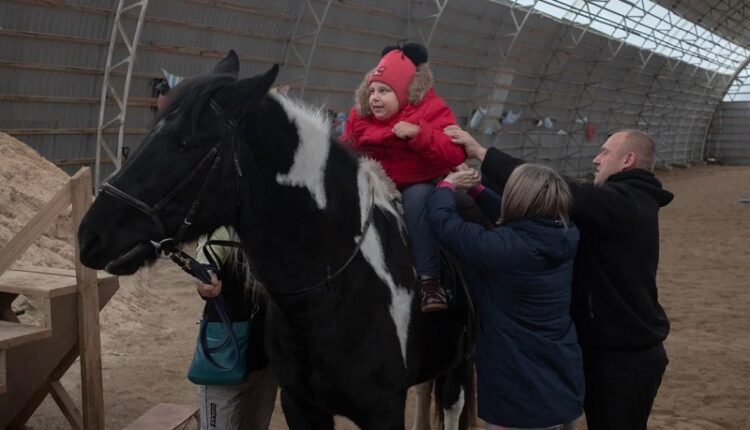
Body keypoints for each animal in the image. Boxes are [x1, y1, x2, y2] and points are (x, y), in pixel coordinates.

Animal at [78, 51, 474, 429]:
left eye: (185, 143)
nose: (89, 236)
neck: (337, 287)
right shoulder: (300, 405)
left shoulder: (383, 410)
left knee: (452, 405)